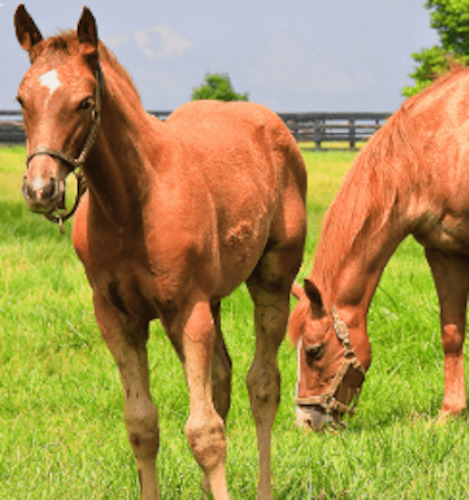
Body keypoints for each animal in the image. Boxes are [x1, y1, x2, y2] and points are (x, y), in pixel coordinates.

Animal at [14, 4, 306, 500]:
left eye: (85, 102)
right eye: (21, 100)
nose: (40, 189)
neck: (134, 201)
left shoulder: (187, 310)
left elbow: (204, 431)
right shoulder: (116, 316)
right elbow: (141, 424)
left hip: (271, 279)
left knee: (263, 384)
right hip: (211, 300)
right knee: (222, 377)